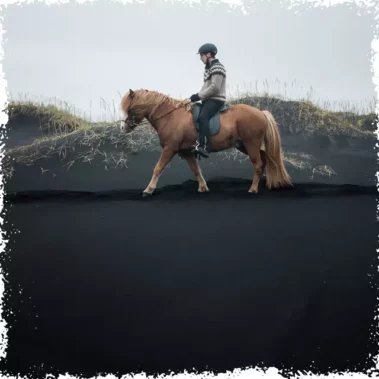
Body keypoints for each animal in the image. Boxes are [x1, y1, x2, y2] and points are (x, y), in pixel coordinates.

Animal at [120, 88, 292, 196]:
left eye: (130, 109)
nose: (123, 128)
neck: (170, 116)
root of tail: (261, 112)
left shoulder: (170, 149)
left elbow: (157, 168)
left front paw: (148, 190)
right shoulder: (187, 151)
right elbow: (196, 170)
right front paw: (203, 187)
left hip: (251, 144)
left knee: (258, 164)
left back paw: (253, 189)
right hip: (244, 145)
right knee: (265, 160)